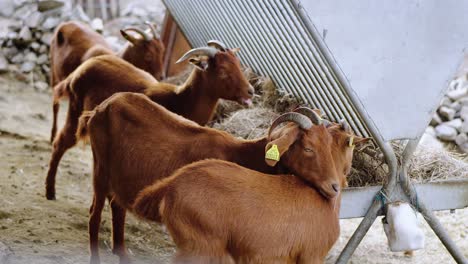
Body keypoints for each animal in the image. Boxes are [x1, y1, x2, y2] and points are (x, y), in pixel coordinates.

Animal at [45, 41, 254, 200]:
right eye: (223, 70)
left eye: (237, 64)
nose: (250, 91)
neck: (179, 99)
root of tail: (80, 69)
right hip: (75, 109)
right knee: (61, 143)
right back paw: (50, 191)